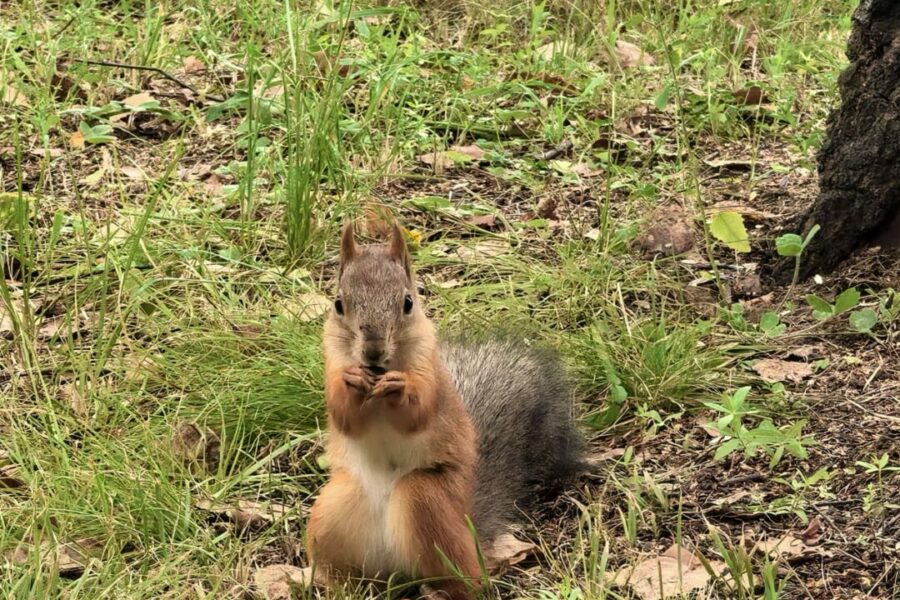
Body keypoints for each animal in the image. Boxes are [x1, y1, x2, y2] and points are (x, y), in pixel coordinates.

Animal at [306, 221, 580, 600]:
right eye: (338, 304)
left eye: (408, 302)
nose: (373, 351)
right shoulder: (331, 361)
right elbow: (343, 416)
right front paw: (352, 382)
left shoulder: (431, 371)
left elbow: (420, 411)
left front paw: (400, 387)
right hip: (332, 511)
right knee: (356, 576)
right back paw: (336, 586)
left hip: (427, 501)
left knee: (468, 580)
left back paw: (441, 590)